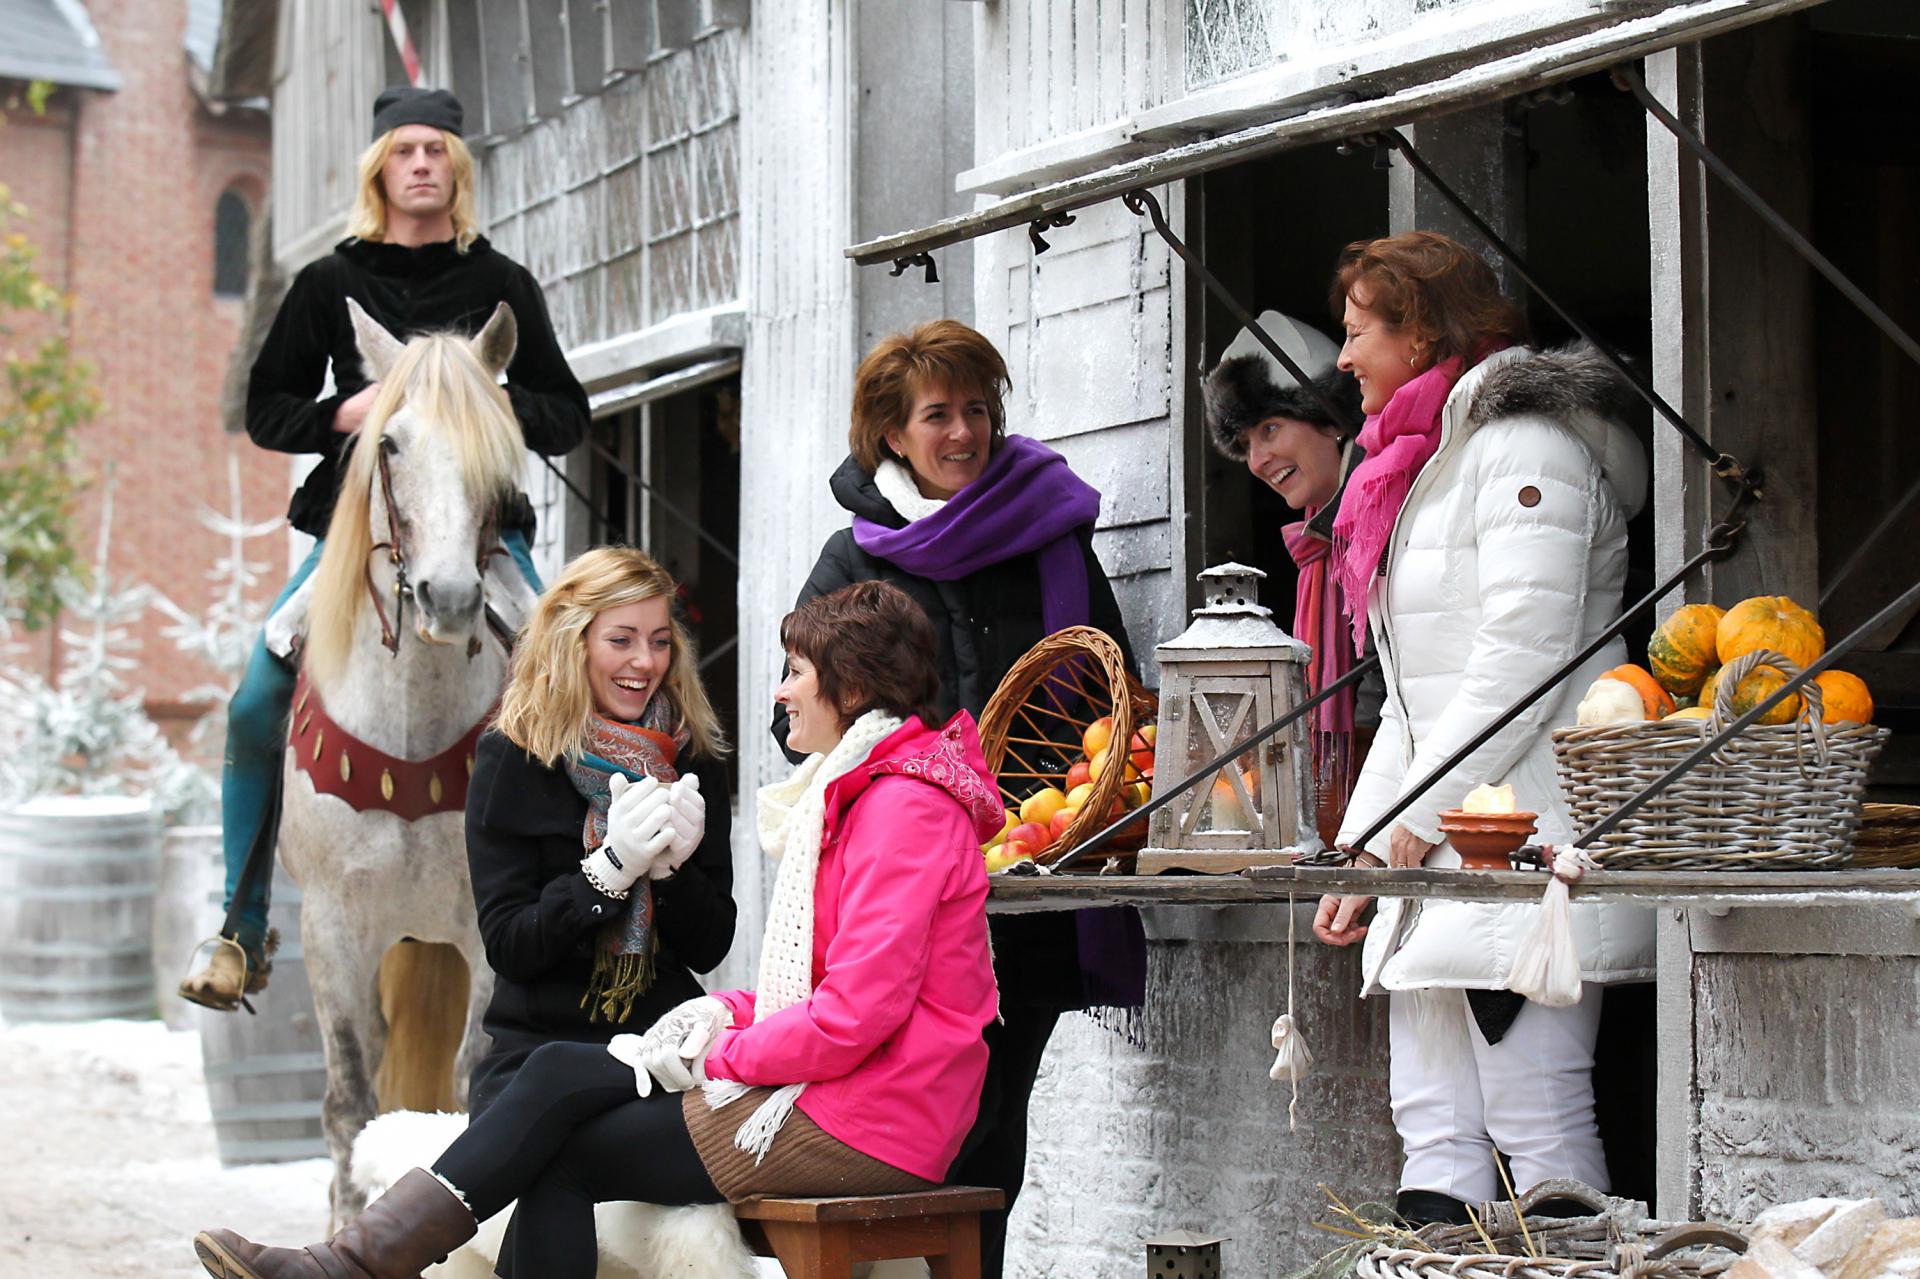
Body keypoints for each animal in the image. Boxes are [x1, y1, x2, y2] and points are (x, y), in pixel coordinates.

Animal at [280, 299, 533, 1213]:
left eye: (501, 449)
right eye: (389, 442)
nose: (450, 598)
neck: (410, 738)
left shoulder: (490, 933)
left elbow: (470, 1086)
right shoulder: (333, 928)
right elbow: (351, 1102)